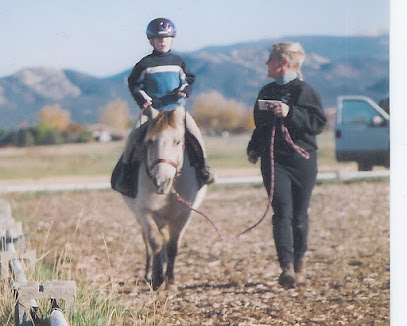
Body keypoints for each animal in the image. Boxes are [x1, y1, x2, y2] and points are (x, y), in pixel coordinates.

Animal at [122, 106, 207, 290]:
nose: (161, 181)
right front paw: (156, 277)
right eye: (150, 141)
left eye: (177, 141)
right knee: (149, 243)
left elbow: (172, 246)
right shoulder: (144, 212)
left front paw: (170, 281)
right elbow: (154, 242)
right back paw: (148, 273)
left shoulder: (183, 215)